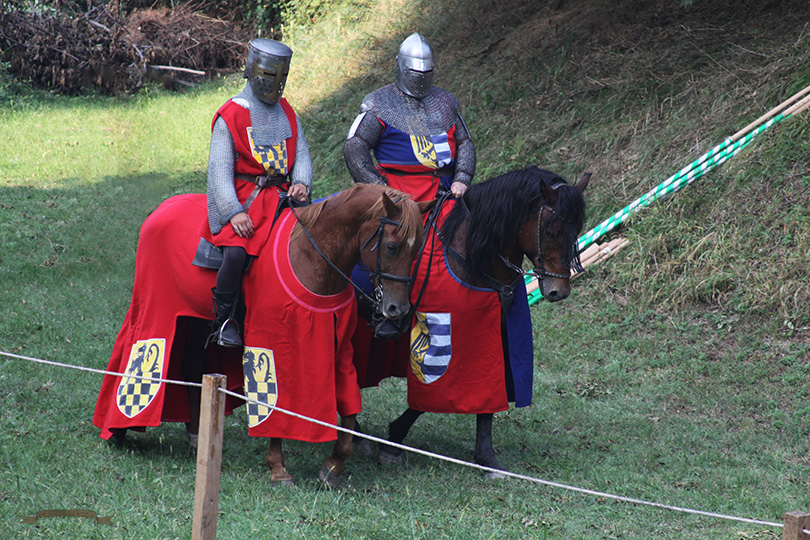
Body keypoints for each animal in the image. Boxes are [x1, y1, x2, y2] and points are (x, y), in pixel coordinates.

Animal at [94, 184, 432, 488]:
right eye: (392, 246)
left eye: (417, 249)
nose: (397, 309)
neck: (312, 256)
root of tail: (162, 209)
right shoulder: (273, 346)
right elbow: (273, 403)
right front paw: (279, 468)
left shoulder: (339, 351)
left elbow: (349, 409)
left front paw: (334, 466)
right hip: (157, 307)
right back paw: (119, 428)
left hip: (197, 318)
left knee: (191, 367)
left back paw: (195, 436)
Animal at [354, 167, 588, 478]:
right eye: (550, 230)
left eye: (576, 230)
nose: (558, 291)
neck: (470, 253)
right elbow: (431, 394)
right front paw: (393, 441)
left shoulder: (493, 332)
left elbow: (486, 391)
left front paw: (487, 458)